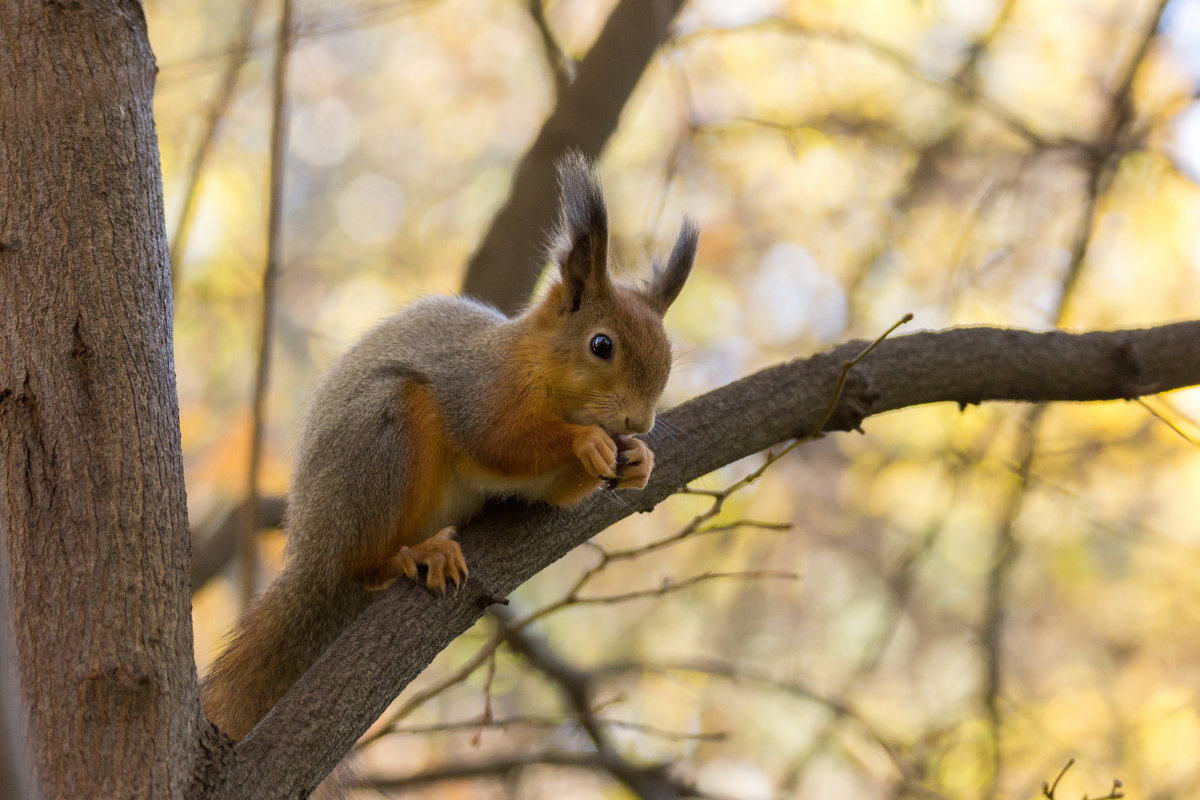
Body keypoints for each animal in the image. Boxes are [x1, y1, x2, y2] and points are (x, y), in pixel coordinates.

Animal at [201, 153, 700, 743]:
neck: (535, 366)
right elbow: (502, 442)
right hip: (381, 443)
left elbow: (551, 494)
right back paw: (415, 555)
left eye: (667, 354)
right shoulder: (480, 391)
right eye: (601, 345)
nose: (639, 423)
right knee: (361, 563)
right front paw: (587, 442)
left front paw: (639, 461)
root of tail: (311, 555)